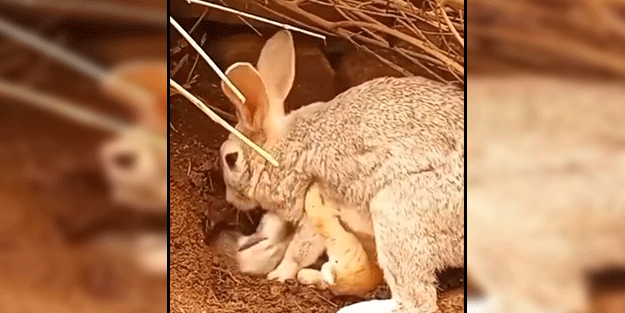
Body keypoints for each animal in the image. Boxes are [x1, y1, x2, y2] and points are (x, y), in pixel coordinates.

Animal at [218, 29, 464, 312]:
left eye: (231, 159)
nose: (229, 199)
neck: (280, 151)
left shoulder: (310, 208)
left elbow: (299, 250)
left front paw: (277, 275)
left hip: (396, 213)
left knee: (415, 301)